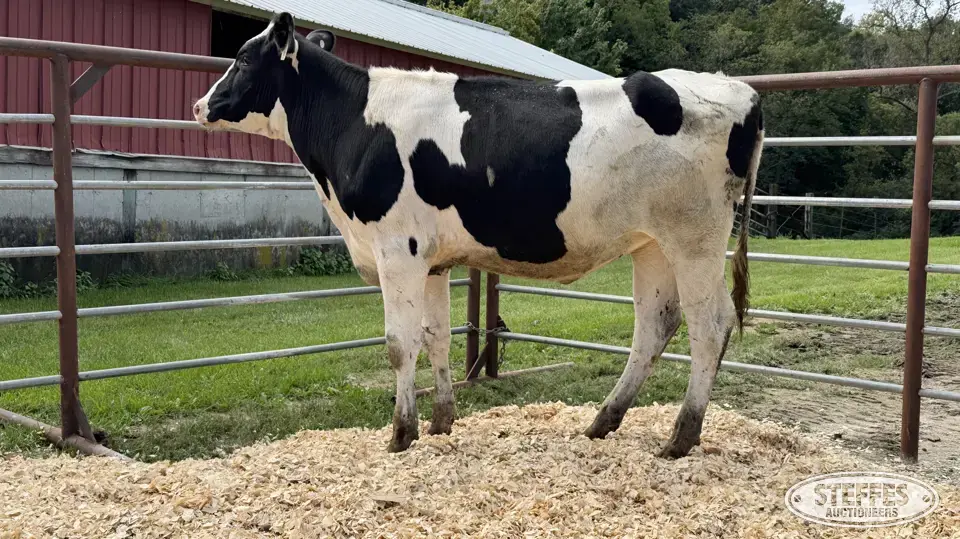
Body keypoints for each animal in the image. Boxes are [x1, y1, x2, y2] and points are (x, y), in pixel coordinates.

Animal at [193, 12, 763, 458]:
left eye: (242, 58)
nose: (200, 106)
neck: (355, 125)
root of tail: (737, 88)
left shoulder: (397, 250)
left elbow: (399, 343)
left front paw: (400, 434)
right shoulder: (431, 260)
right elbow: (436, 336)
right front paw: (441, 421)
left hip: (695, 239)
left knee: (710, 325)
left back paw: (680, 438)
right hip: (652, 244)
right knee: (655, 326)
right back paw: (603, 422)